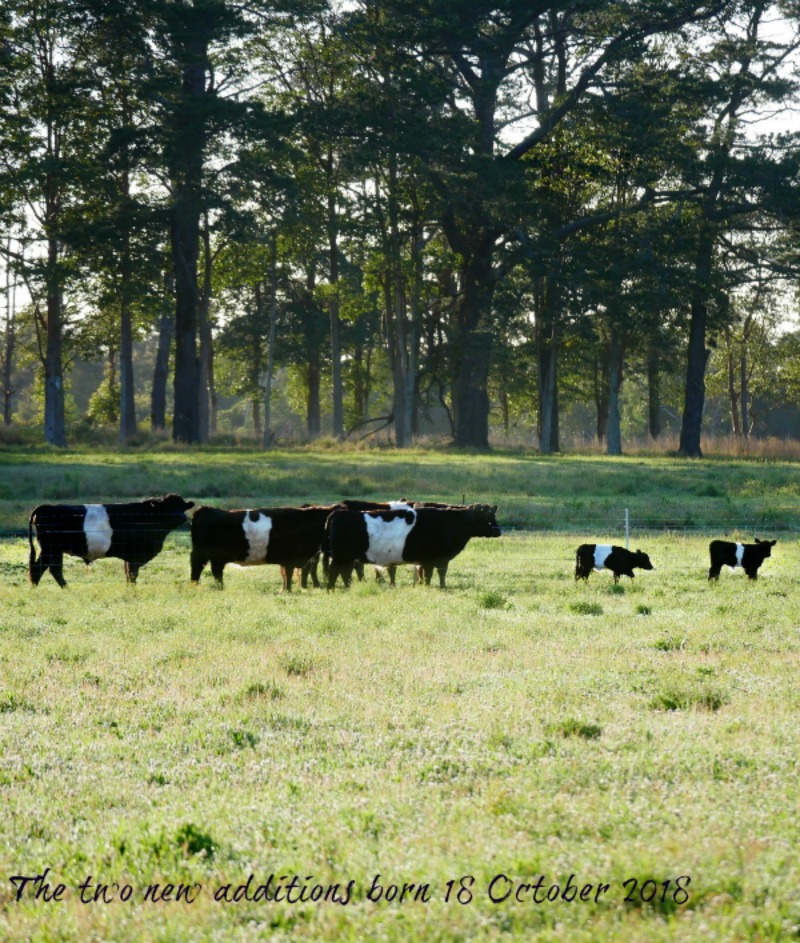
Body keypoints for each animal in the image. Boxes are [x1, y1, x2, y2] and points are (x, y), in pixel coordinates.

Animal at [28, 498, 195, 588]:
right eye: (168, 506)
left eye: (182, 506)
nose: (180, 517)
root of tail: (46, 507)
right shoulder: (135, 555)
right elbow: (132, 574)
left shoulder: (130, 557)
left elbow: (129, 574)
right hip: (50, 548)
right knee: (40, 568)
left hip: (55, 550)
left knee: (54, 570)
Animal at [189, 502, 340, 592]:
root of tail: (205, 509)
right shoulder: (289, 558)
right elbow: (288, 574)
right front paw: (287, 590)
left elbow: (285, 574)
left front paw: (284, 590)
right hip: (203, 553)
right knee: (198, 567)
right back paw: (196, 585)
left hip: (216, 557)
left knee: (216, 571)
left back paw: (219, 587)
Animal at [324, 502, 500, 592]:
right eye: (486, 517)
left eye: (494, 515)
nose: (498, 531)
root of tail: (340, 512)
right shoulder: (431, 559)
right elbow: (430, 574)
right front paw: (431, 587)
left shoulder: (440, 559)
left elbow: (440, 573)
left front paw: (441, 586)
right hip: (341, 556)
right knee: (334, 571)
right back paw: (331, 589)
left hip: (346, 557)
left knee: (344, 572)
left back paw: (346, 588)